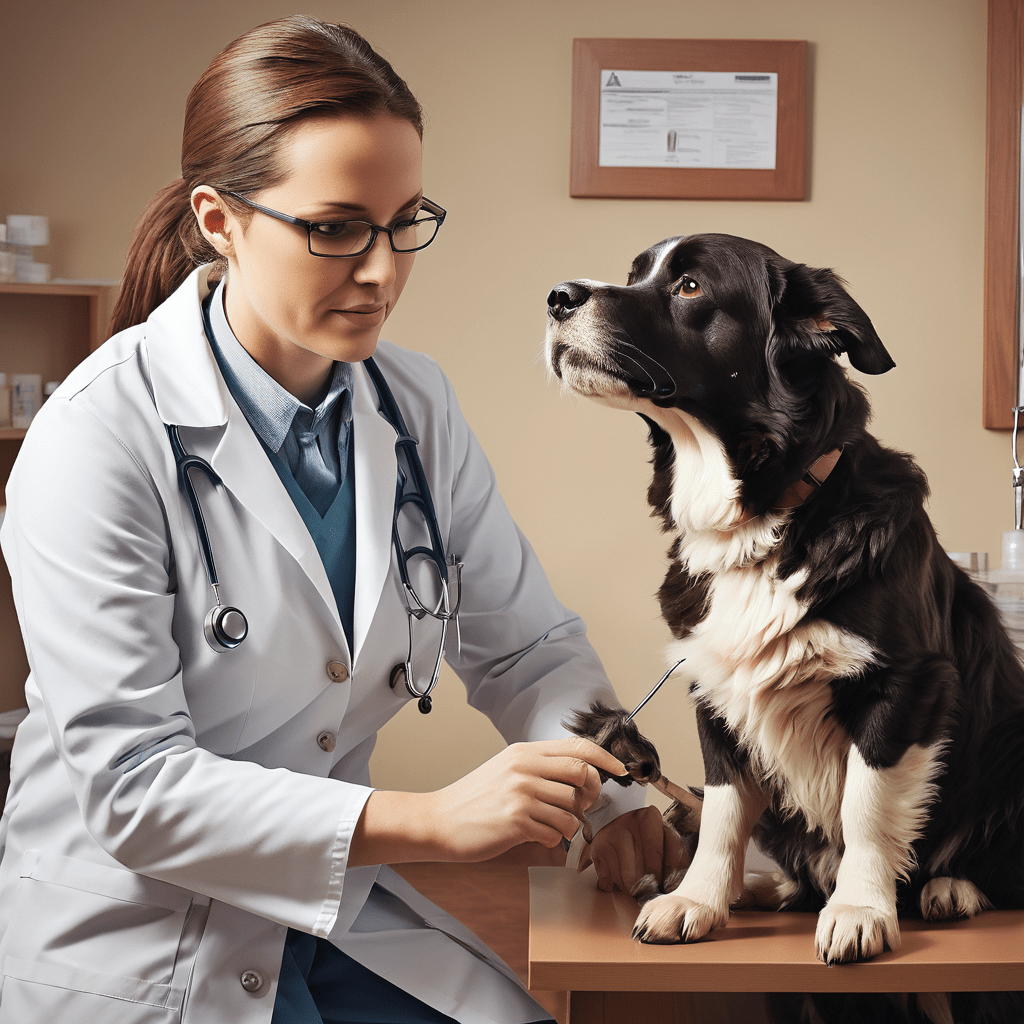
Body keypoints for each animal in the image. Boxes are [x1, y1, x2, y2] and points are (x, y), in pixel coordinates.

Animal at [548, 232, 1019, 966]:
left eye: (688, 286)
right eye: (636, 272)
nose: (557, 296)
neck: (761, 515)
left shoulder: (907, 684)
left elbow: (866, 807)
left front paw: (860, 909)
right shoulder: (713, 685)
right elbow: (722, 808)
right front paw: (699, 899)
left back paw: (950, 888)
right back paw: (769, 888)